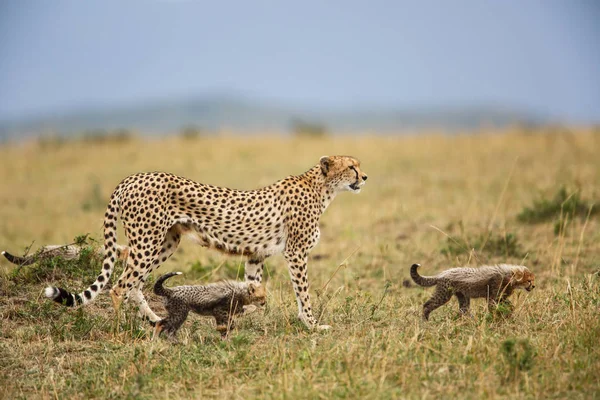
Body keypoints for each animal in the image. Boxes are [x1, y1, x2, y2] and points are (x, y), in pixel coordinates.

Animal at [37, 155, 368, 330]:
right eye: (351, 167)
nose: (364, 177)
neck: (322, 188)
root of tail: (133, 177)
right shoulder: (296, 253)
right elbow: (304, 293)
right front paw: (312, 324)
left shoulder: (255, 254)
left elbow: (255, 289)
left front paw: (246, 314)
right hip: (148, 241)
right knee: (119, 286)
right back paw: (123, 330)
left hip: (164, 243)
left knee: (133, 284)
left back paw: (155, 320)